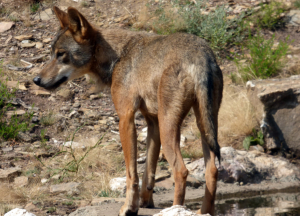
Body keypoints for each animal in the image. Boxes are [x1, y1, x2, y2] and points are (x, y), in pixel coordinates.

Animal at [33, 5, 225, 215]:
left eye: (61, 54)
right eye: (52, 53)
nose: (36, 80)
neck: (117, 56)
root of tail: (201, 57)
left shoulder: (125, 118)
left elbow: (131, 173)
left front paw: (128, 207)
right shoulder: (152, 123)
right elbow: (148, 171)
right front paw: (145, 202)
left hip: (170, 127)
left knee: (181, 171)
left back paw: (176, 209)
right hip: (204, 125)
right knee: (212, 170)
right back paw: (204, 212)